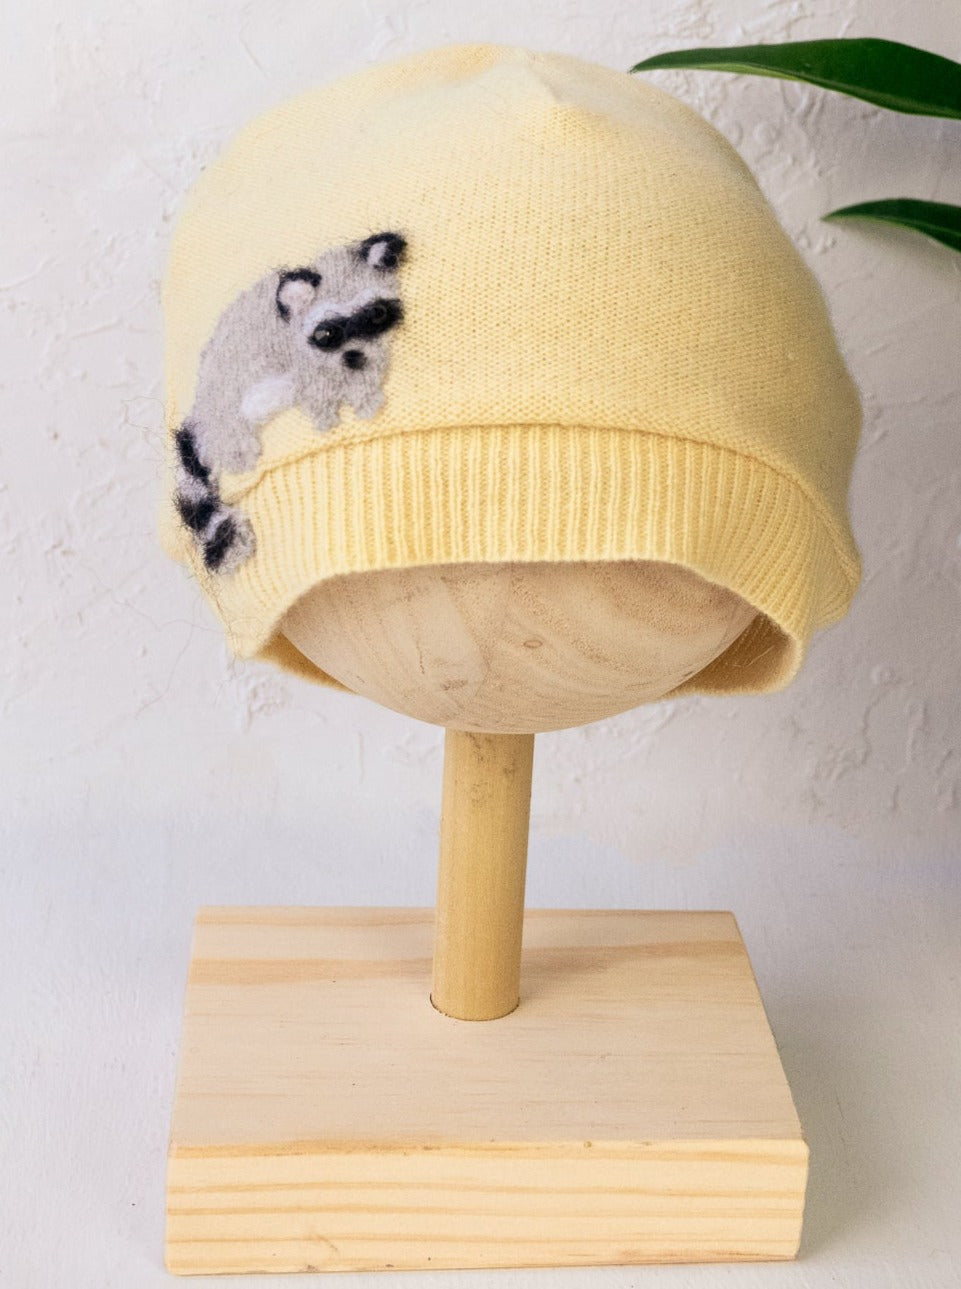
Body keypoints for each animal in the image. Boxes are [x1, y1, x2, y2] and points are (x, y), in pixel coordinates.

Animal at [173, 230, 407, 574]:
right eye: (326, 334)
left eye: (377, 314)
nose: (354, 357)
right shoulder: (298, 359)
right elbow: (314, 388)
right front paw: (334, 410)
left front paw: (364, 392)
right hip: (227, 396)